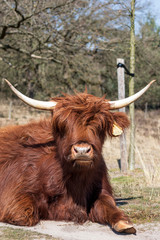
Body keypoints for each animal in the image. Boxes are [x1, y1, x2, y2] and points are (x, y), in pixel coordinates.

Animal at [0, 79, 155, 233]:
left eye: (100, 125)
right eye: (63, 126)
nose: (82, 150)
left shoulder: (102, 191)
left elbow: (109, 205)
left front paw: (124, 222)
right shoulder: (15, 194)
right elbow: (25, 214)